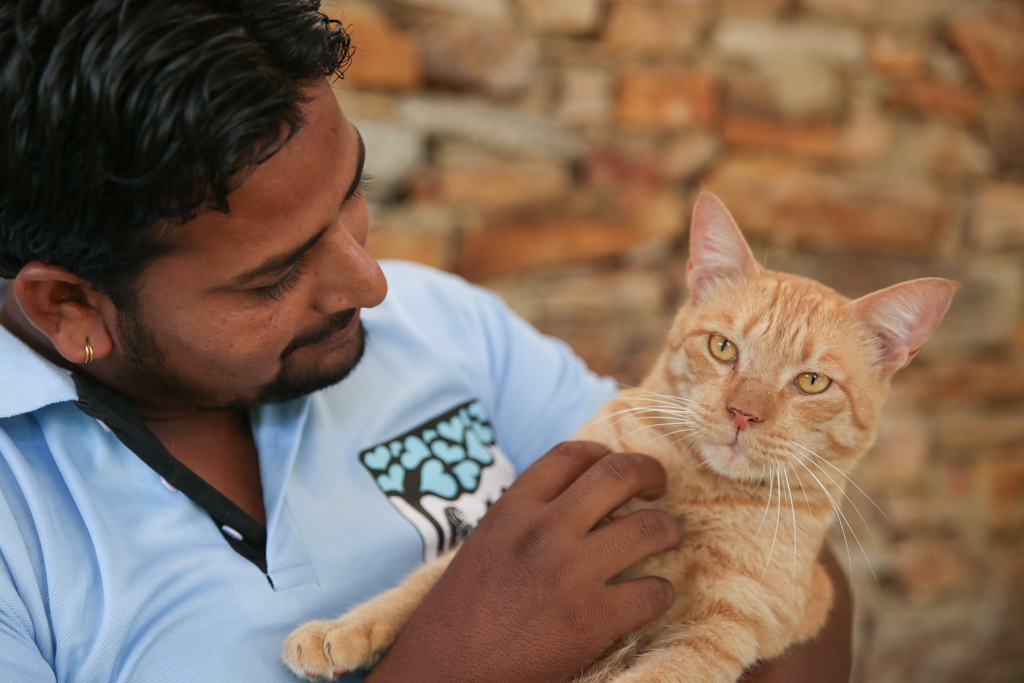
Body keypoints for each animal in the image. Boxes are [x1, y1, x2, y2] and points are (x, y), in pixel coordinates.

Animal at [280, 192, 950, 683]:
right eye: (723, 348)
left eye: (811, 382)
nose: (742, 413)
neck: (696, 490)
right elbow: (433, 579)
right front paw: (339, 628)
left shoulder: (728, 624)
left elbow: (657, 675)